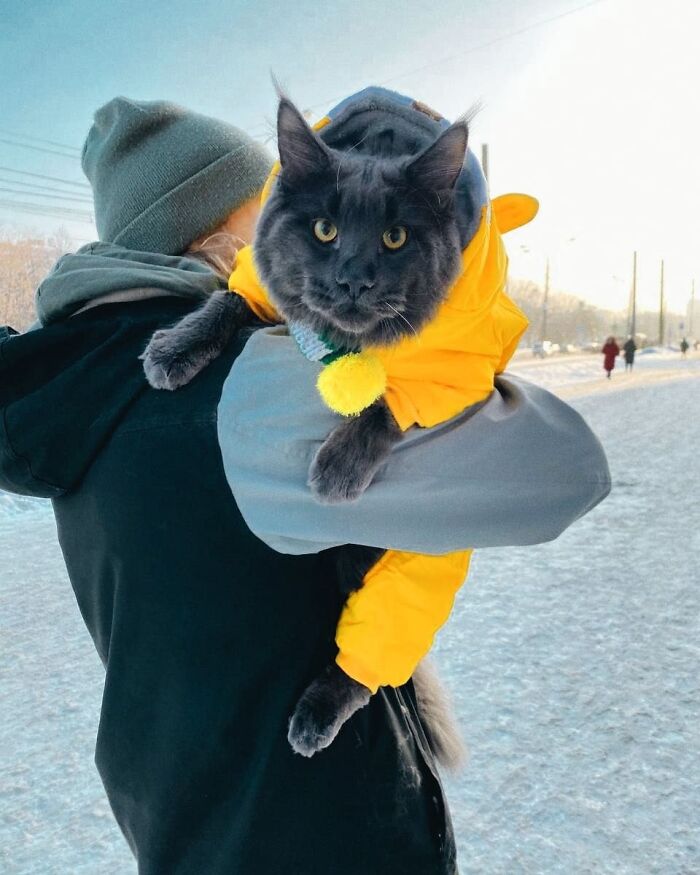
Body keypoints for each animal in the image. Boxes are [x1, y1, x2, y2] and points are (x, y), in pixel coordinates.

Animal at [142, 97, 470, 760]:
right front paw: (174, 349)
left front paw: (337, 468)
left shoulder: (466, 367)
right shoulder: (258, 287)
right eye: (324, 230)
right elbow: (227, 301)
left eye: (395, 238)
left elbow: (393, 395)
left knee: (370, 662)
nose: (354, 279)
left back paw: (317, 712)